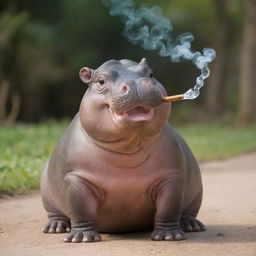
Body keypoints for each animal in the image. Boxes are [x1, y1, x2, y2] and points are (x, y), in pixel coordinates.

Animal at [41, 57, 205, 242]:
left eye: (150, 73)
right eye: (101, 81)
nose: (138, 84)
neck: (128, 151)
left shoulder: (171, 177)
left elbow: (169, 208)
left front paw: (168, 236)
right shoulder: (77, 178)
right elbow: (80, 209)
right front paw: (82, 238)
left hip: (197, 191)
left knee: (189, 211)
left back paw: (191, 225)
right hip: (47, 191)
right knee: (55, 213)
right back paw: (55, 227)